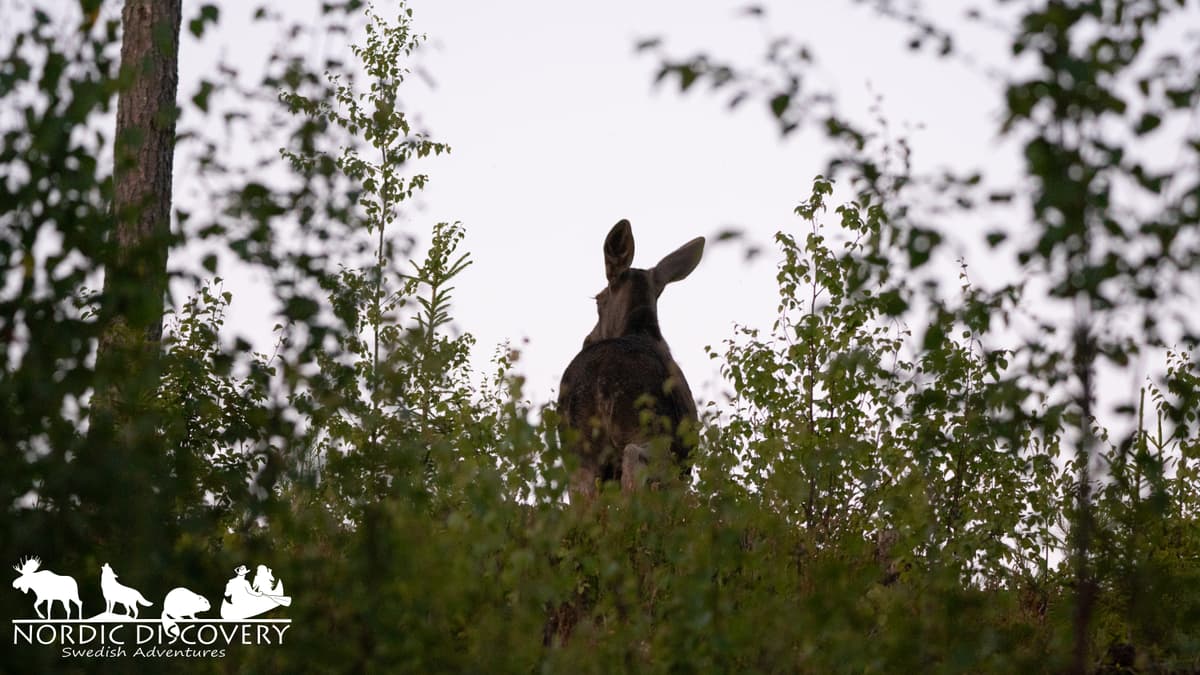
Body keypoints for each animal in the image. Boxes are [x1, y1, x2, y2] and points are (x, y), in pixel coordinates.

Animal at [558, 219, 705, 500]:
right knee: (635, 464)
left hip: (580, 449)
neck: (639, 329)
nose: (587, 339)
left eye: (598, 299)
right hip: (645, 431)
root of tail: (599, 379)